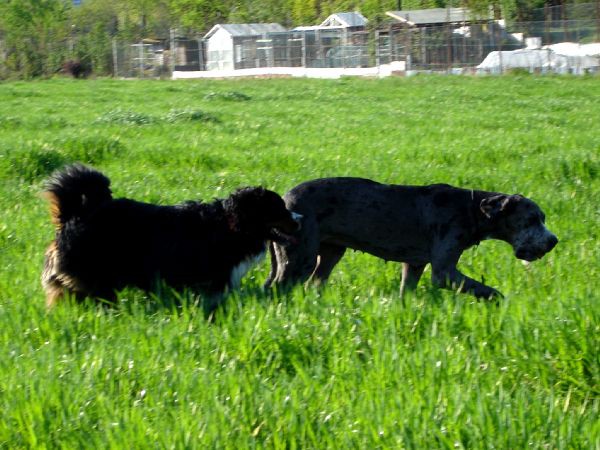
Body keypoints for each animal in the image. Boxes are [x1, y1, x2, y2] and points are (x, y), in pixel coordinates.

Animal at [42, 165, 300, 310]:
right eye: (279, 208)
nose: (300, 218)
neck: (230, 224)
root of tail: (74, 216)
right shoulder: (208, 281)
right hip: (99, 280)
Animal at [266, 178, 556, 300]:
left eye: (543, 217)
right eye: (532, 219)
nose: (553, 241)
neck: (471, 208)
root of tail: (283, 200)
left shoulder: (414, 265)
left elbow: (407, 289)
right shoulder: (444, 272)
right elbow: (488, 290)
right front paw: (504, 303)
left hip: (330, 252)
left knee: (312, 283)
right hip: (298, 259)